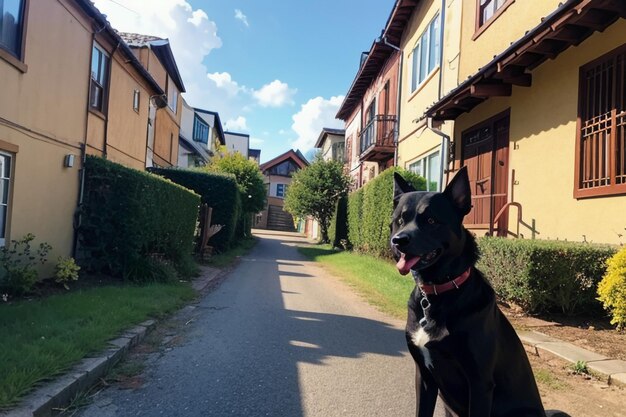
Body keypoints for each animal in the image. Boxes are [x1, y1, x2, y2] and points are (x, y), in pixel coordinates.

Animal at [388, 167, 552, 416]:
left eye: (431, 220)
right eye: (400, 220)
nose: (398, 241)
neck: (438, 293)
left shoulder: (480, 383)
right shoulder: (423, 377)